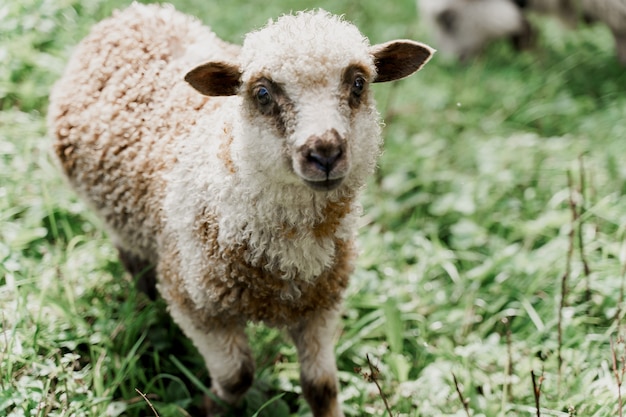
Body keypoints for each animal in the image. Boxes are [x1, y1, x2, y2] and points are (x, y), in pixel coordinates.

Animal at [47, 2, 434, 412]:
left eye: (359, 83)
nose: (325, 152)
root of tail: (132, 13)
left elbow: (321, 386)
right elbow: (237, 378)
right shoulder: (195, 303)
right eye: (262, 92)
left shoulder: (321, 304)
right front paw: (209, 407)